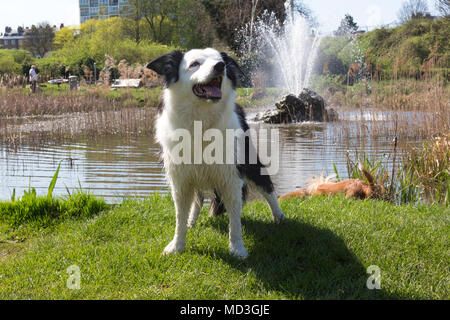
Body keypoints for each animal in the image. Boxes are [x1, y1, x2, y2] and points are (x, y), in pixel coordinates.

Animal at [148, 47, 284, 258]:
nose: (220, 66)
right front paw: (177, 246)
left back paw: (279, 217)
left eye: (222, 61)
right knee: (198, 199)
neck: (201, 121)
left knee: (267, 188)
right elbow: (180, 216)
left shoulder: (231, 175)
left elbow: (235, 219)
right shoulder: (180, 179)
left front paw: (237, 248)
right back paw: (191, 221)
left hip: (249, 161)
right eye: (194, 64)